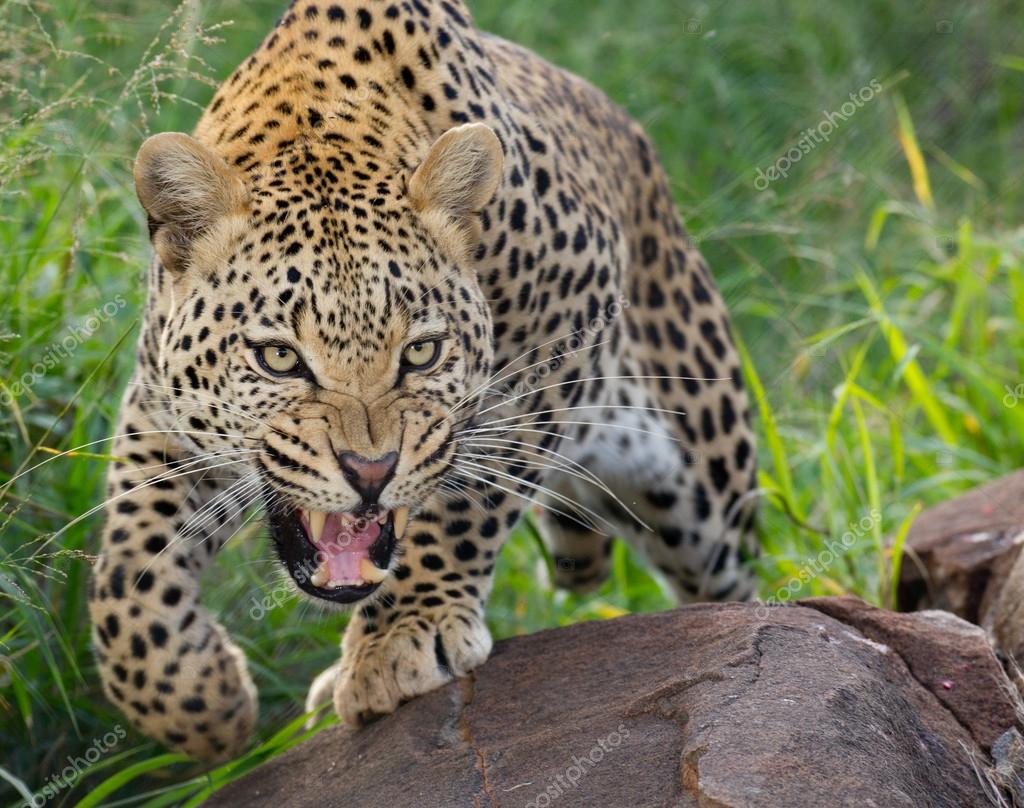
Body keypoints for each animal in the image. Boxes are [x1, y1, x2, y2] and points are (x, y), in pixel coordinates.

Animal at [88, 0, 759, 762]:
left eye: (423, 353)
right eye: (280, 359)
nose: (370, 471)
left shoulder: (563, 326)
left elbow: (468, 500)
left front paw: (403, 635)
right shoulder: (160, 406)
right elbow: (130, 567)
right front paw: (202, 702)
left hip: (704, 479)